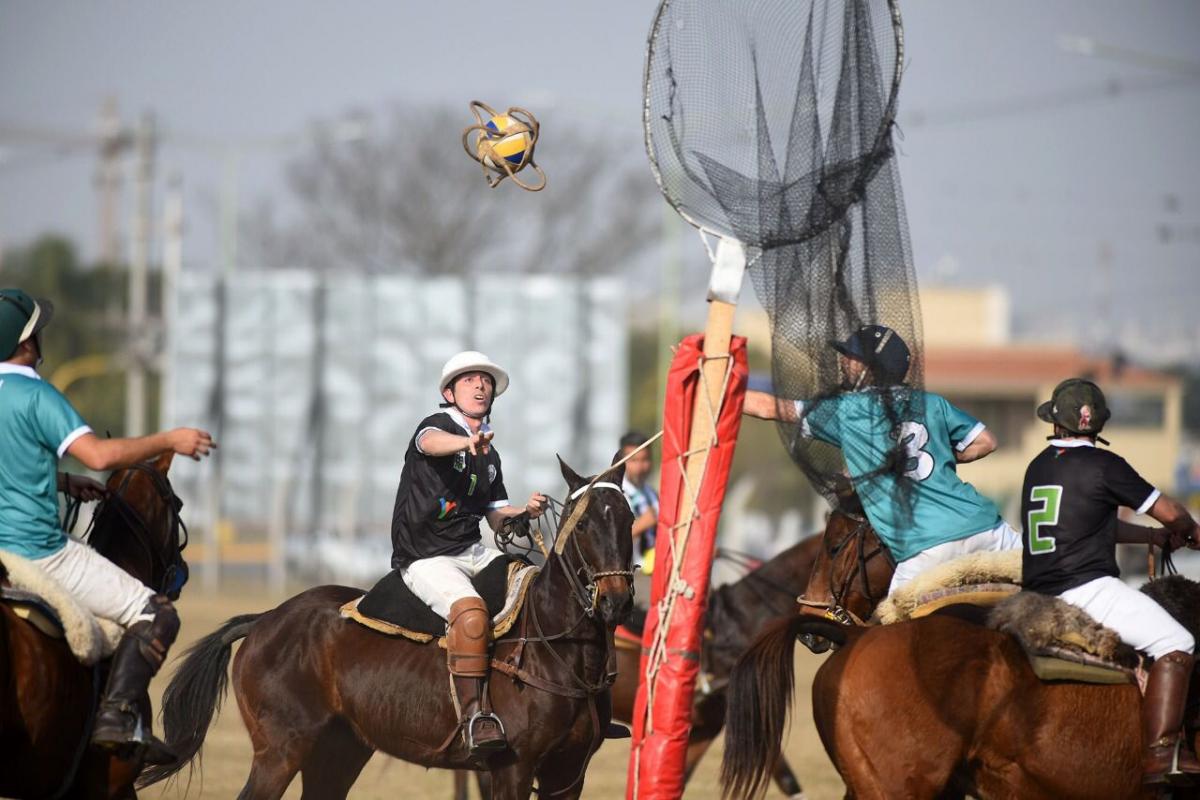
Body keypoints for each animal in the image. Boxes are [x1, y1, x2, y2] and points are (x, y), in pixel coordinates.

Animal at [141, 460, 638, 796]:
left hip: (339, 750)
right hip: (280, 749)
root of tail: (264, 619)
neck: (557, 650)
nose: (616, 601)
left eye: (629, 518)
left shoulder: (567, 775)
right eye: (584, 523)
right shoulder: (512, 770)